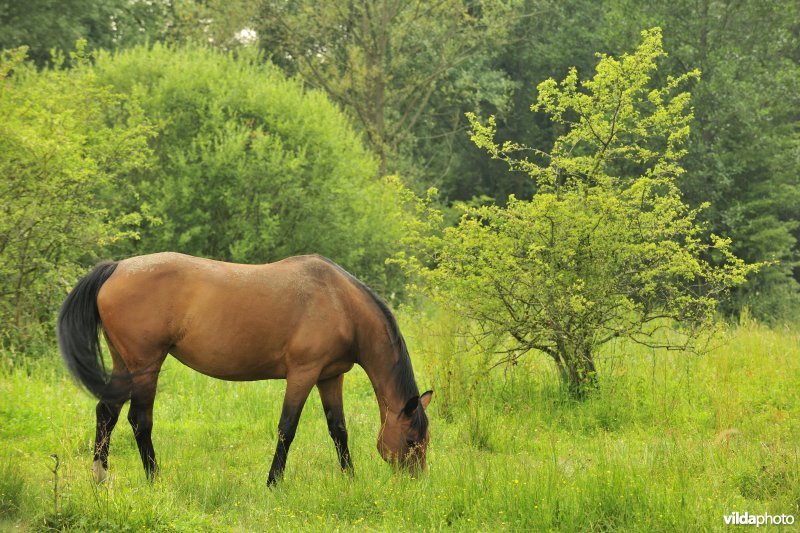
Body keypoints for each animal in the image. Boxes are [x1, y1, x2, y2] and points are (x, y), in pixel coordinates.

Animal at [57, 251, 434, 484]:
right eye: (411, 440)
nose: (414, 481)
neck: (340, 303)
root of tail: (116, 267)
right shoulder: (303, 374)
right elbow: (287, 429)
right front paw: (273, 482)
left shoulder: (330, 377)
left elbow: (338, 429)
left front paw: (349, 477)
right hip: (146, 365)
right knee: (139, 420)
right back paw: (154, 478)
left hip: (125, 363)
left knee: (107, 412)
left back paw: (100, 476)